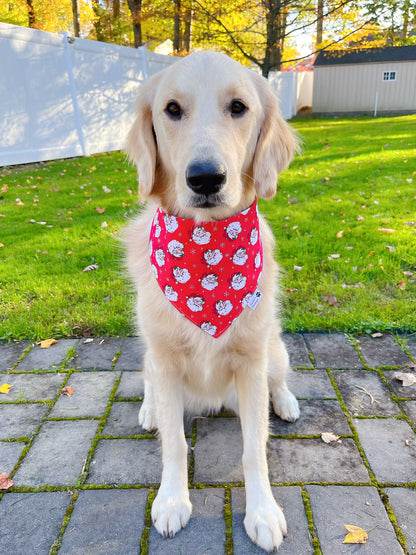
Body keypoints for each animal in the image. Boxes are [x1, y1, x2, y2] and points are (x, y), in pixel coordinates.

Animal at [125, 51, 300, 552]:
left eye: (238, 107)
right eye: (171, 110)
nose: (205, 178)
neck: (208, 251)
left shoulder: (250, 362)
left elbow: (254, 449)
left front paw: (262, 512)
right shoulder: (164, 360)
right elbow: (174, 443)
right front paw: (171, 500)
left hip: (274, 350)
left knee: (279, 379)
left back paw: (286, 402)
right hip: (148, 356)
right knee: (148, 389)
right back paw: (148, 410)